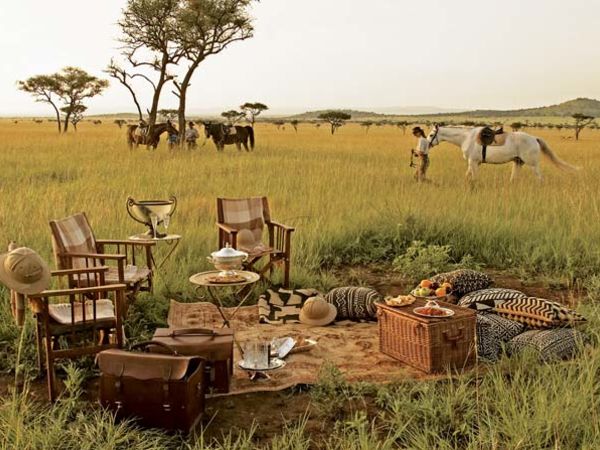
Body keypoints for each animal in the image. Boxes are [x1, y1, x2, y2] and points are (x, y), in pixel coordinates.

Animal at [424, 124, 580, 182]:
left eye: (431, 135)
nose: (425, 147)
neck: (466, 138)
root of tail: (534, 138)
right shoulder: (473, 163)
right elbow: (468, 176)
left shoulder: (473, 162)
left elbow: (474, 178)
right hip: (518, 163)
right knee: (514, 178)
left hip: (533, 164)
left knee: (540, 178)